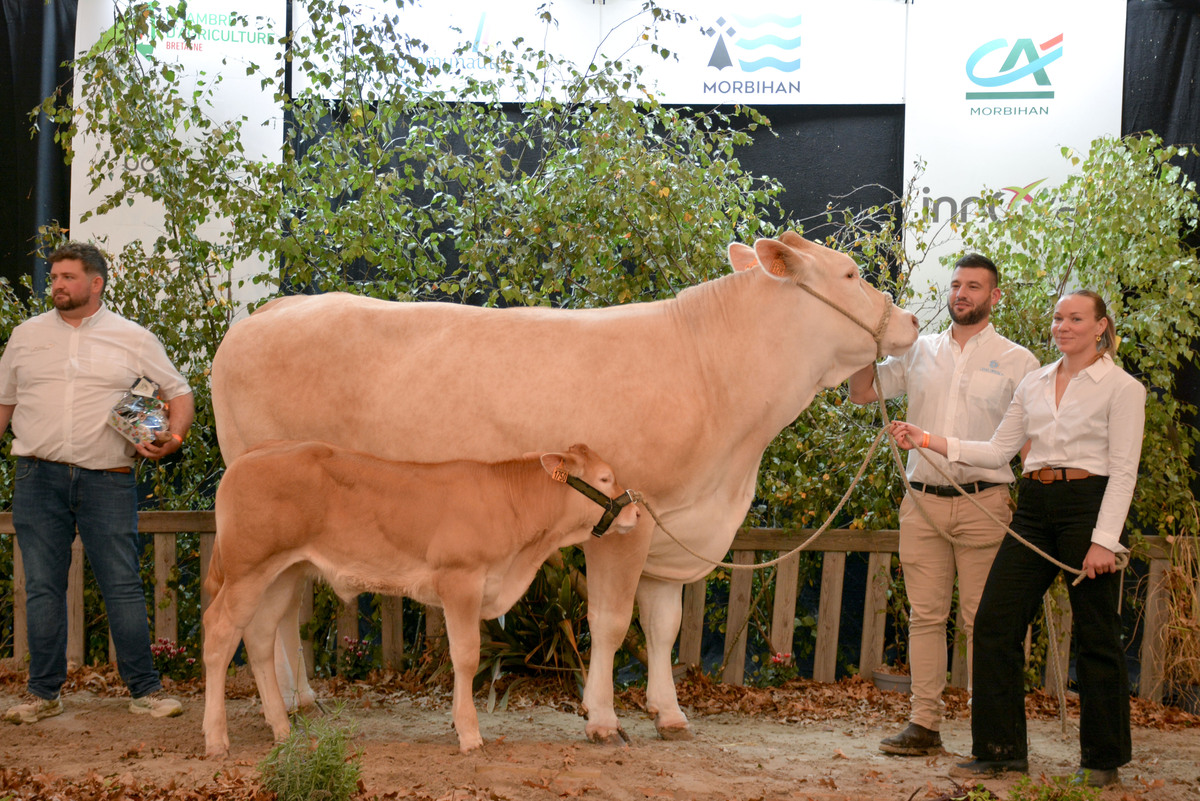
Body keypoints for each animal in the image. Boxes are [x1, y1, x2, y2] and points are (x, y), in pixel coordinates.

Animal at [201, 441, 640, 757]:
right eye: (605, 478)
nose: (636, 512)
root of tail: (251, 455)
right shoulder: (460, 580)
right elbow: (466, 656)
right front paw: (469, 734)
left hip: (283, 574)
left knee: (258, 636)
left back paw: (281, 728)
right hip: (247, 571)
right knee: (219, 633)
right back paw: (216, 739)